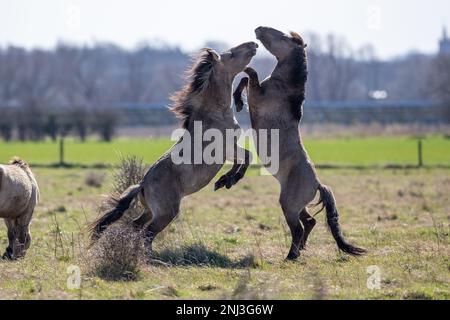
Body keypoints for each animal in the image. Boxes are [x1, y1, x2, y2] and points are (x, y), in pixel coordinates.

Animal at [90, 41, 258, 252]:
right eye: (232, 54)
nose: (253, 44)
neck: (213, 115)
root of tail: (142, 185)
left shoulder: (229, 150)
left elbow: (241, 160)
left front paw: (224, 181)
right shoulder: (226, 148)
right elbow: (248, 157)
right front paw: (229, 180)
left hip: (150, 211)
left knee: (136, 225)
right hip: (166, 213)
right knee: (147, 232)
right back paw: (149, 255)